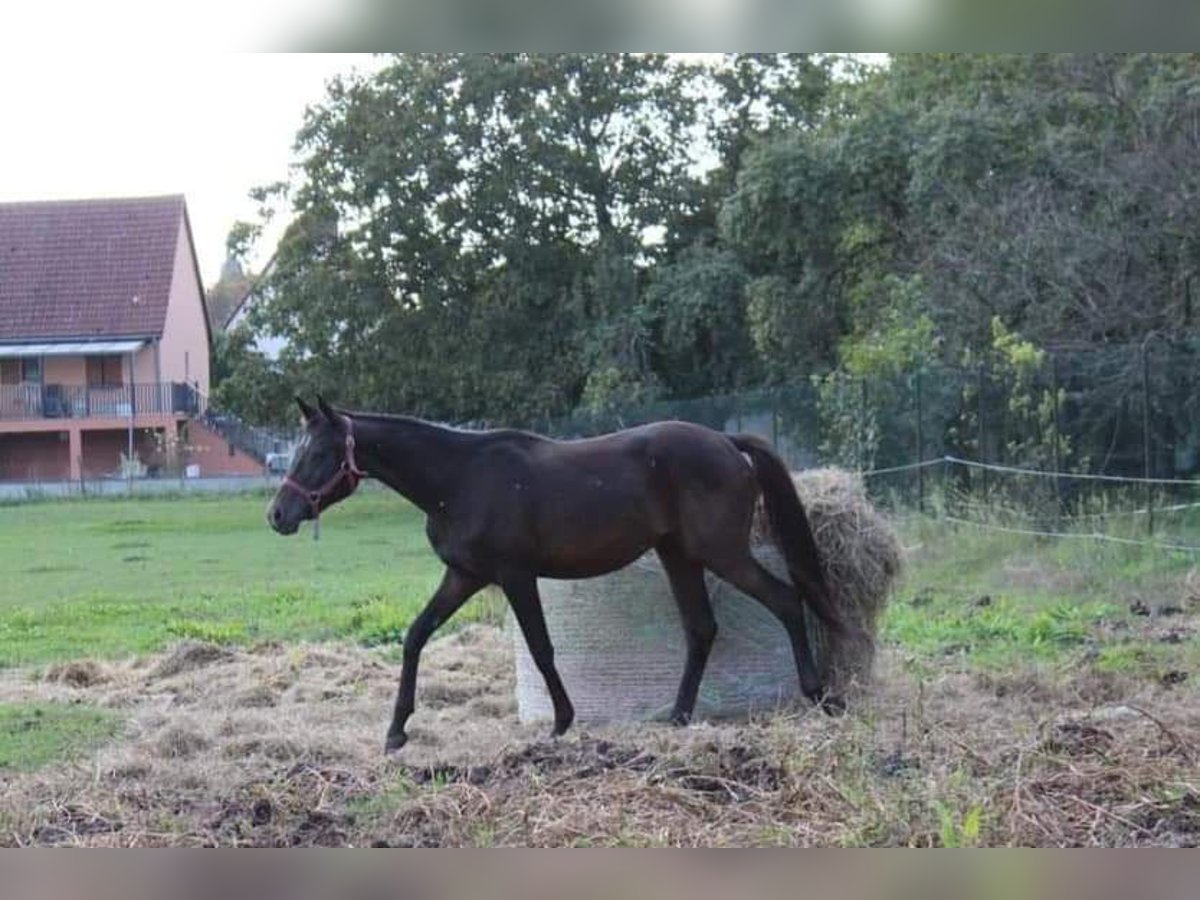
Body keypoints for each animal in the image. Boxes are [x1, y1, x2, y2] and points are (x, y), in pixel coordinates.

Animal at [267, 396, 849, 753]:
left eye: (321, 453)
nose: (278, 515)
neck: (459, 477)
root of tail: (729, 444)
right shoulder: (463, 576)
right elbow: (414, 637)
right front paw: (395, 732)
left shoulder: (515, 575)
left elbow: (542, 648)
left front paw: (562, 722)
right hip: (677, 554)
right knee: (702, 628)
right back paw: (678, 716)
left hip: (720, 552)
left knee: (784, 600)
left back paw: (819, 695)